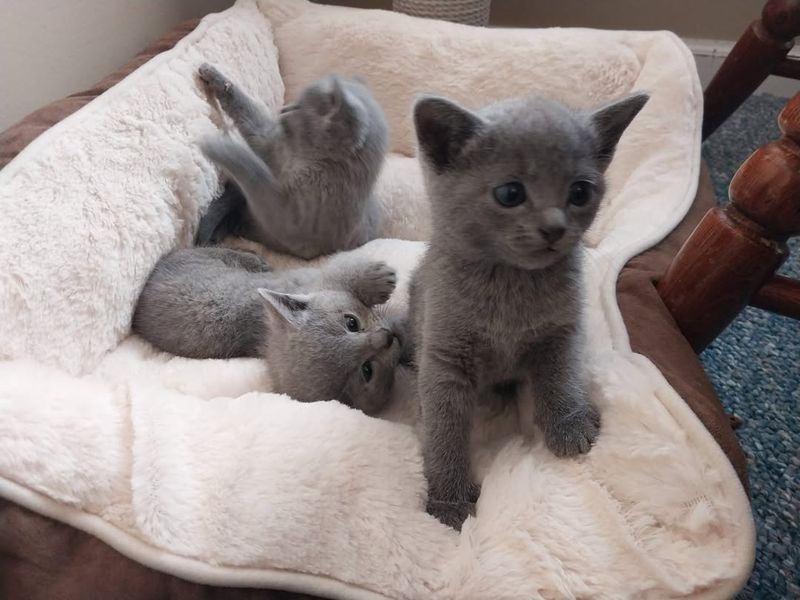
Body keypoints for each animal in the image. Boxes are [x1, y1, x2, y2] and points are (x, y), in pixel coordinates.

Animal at [135, 246, 406, 414]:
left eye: (351, 323)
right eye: (367, 370)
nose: (387, 338)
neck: (262, 332)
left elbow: (343, 272)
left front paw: (378, 280)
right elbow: (340, 268)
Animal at [194, 64, 388, 258]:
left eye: (300, 107)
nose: (284, 110)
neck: (301, 159)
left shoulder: (288, 222)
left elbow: (253, 172)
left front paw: (221, 146)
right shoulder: (273, 146)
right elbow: (250, 116)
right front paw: (213, 75)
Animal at [410, 90, 648, 528]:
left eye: (580, 192)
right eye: (510, 194)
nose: (555, 227)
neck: (511, 283)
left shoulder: (562, 330)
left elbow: (560, 373)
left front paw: (569, 423)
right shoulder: (444, 354)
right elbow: (444, 428)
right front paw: (448, 500)